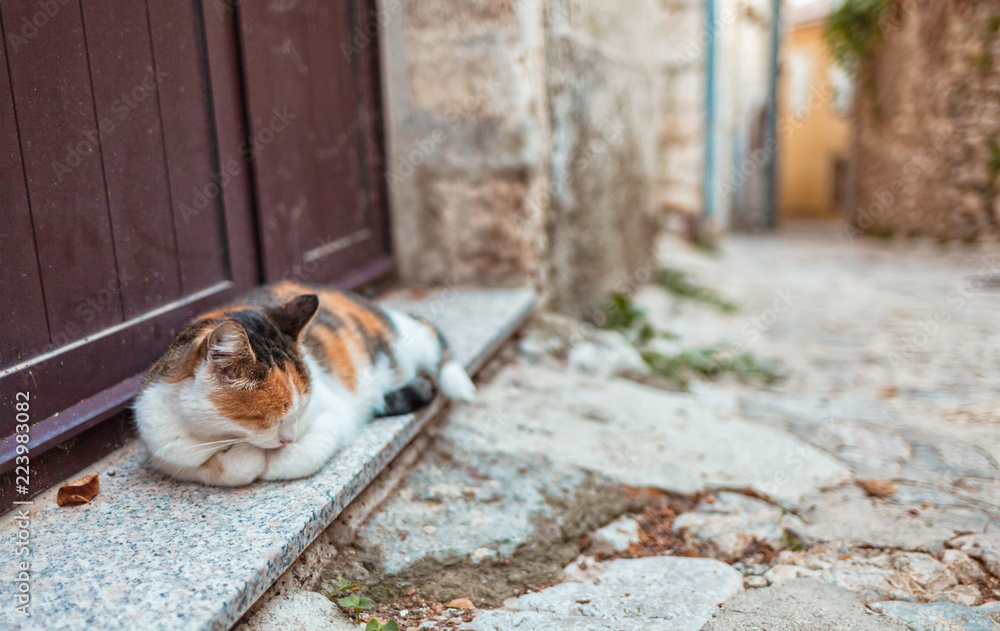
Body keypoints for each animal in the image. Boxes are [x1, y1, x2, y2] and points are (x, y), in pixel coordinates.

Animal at [135, 284, 474, 486]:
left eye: (302, 407)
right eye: (268, 418)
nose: (289, 438)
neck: (221, 436)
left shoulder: (334, 413)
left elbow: (309, 453)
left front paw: (274, 462)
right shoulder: (165, 448)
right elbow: (219, 469)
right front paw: (246, 458)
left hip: (406, 337)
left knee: (431, 336)